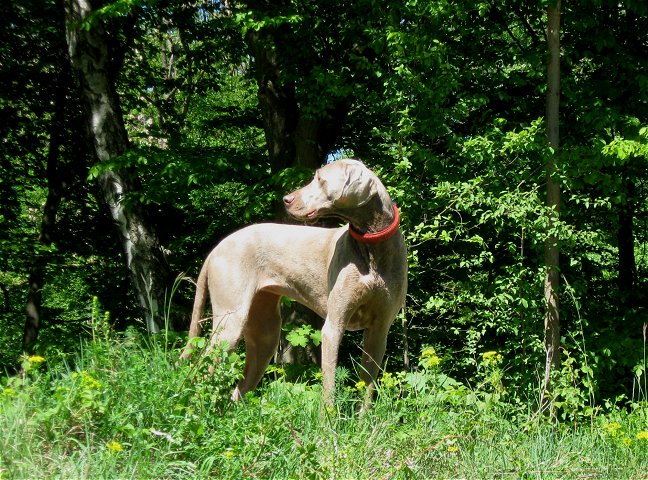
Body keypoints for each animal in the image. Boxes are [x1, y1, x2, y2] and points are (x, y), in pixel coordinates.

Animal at [180, 159, 408, 406]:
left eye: (320, 179)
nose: (286, 199)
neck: (372, 247)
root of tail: (217, 249)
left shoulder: (379, 331)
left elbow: (367, 387)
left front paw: (364, 417)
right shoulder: (333, 327)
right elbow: (329, 388)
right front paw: (329, 418)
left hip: (265, 335)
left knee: (238, 387)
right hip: (230, 324)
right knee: (201, 370)